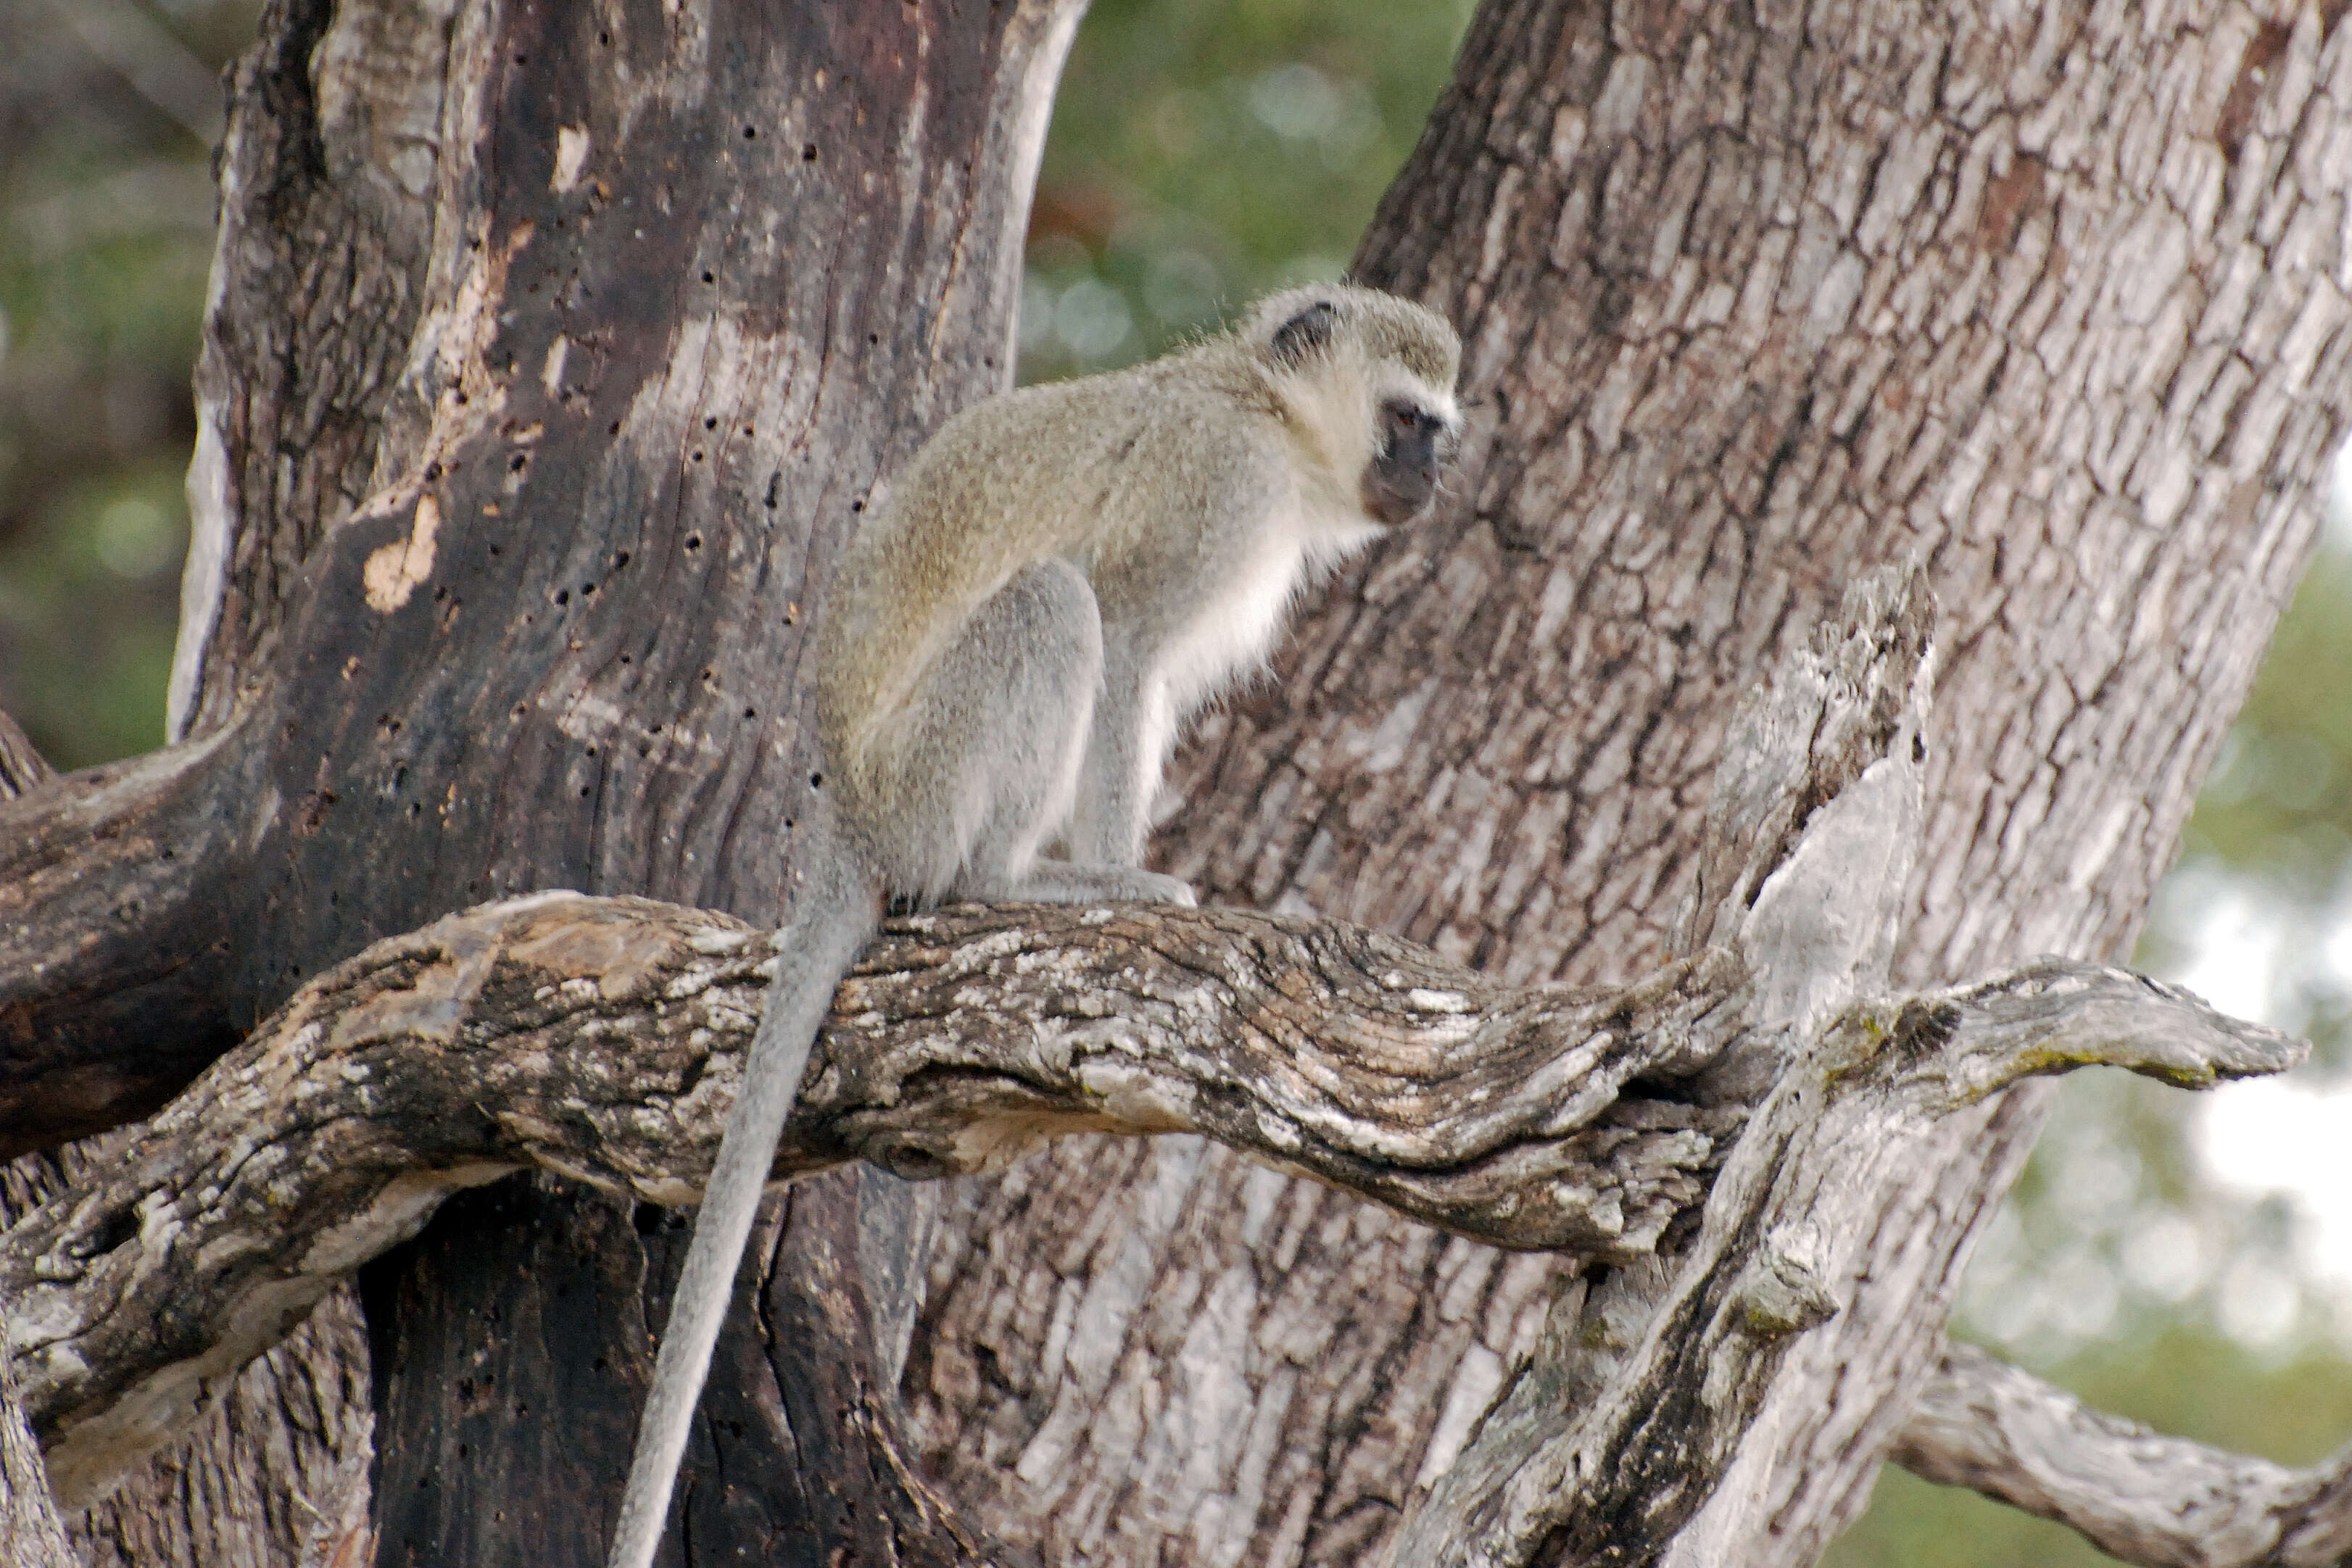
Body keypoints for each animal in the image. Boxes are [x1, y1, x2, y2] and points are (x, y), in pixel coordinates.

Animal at [606, 282, 1449, 1568]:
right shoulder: (1221, 486)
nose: (1432, 474)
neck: (1266, 408)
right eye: (1408, 418)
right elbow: (1132, 636)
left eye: (1438, 428)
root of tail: (850, 813)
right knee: (1056, 604)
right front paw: (1121, 880)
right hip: (931, 773)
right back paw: (1011, 881)